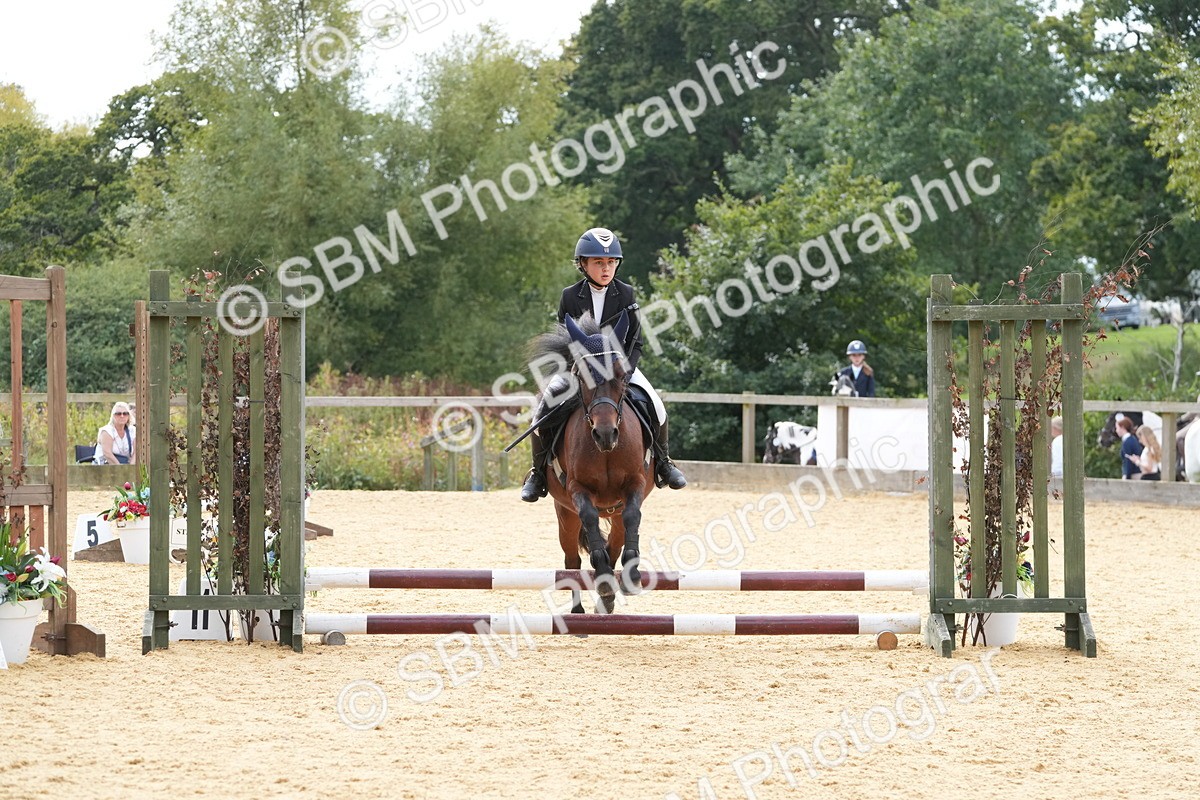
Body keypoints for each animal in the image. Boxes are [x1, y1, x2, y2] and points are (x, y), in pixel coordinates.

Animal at [527, 312, 654, 615]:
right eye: (582, 377)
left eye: (620, 376)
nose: (605, 434)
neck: (605, 451)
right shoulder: (576, 488)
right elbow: (589, 517)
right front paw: (605, 579)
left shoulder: (636, 482)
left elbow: (633, 516)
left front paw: (631, 576)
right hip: (564, 514)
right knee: (571, 561)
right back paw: (580, 608)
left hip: (614, 512)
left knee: (616, 541)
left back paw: (607, 599)